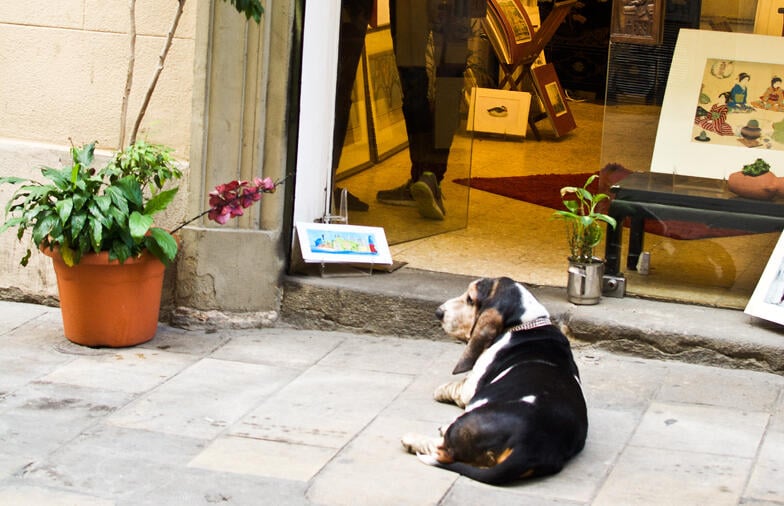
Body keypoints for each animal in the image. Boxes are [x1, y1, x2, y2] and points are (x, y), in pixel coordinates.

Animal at [402, 276, 584, 486]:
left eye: (470, 299)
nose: (439, 312)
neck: (525, 322)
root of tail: (528, 445)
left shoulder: (470, 388)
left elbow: (459, 386)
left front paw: (440, 391)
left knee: (443, 452)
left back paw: (413, 439)